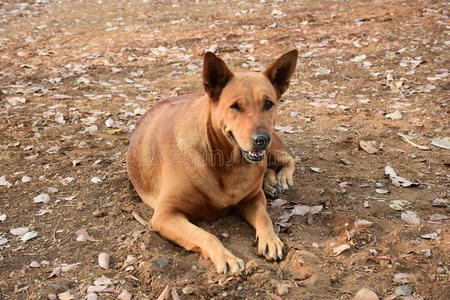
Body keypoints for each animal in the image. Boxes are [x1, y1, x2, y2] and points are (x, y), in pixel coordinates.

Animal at [126, 49, 298, 274]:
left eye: (268, 104)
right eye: (235, 106)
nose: (261, 140)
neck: (227, 162)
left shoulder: (252, 198)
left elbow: (264, 216)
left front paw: (271, 239)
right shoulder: (165, 215)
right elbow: (206, 235)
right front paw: (225, 256)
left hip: (273, 149)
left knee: (288, 159)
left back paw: (280, 179)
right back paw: (270, 183)